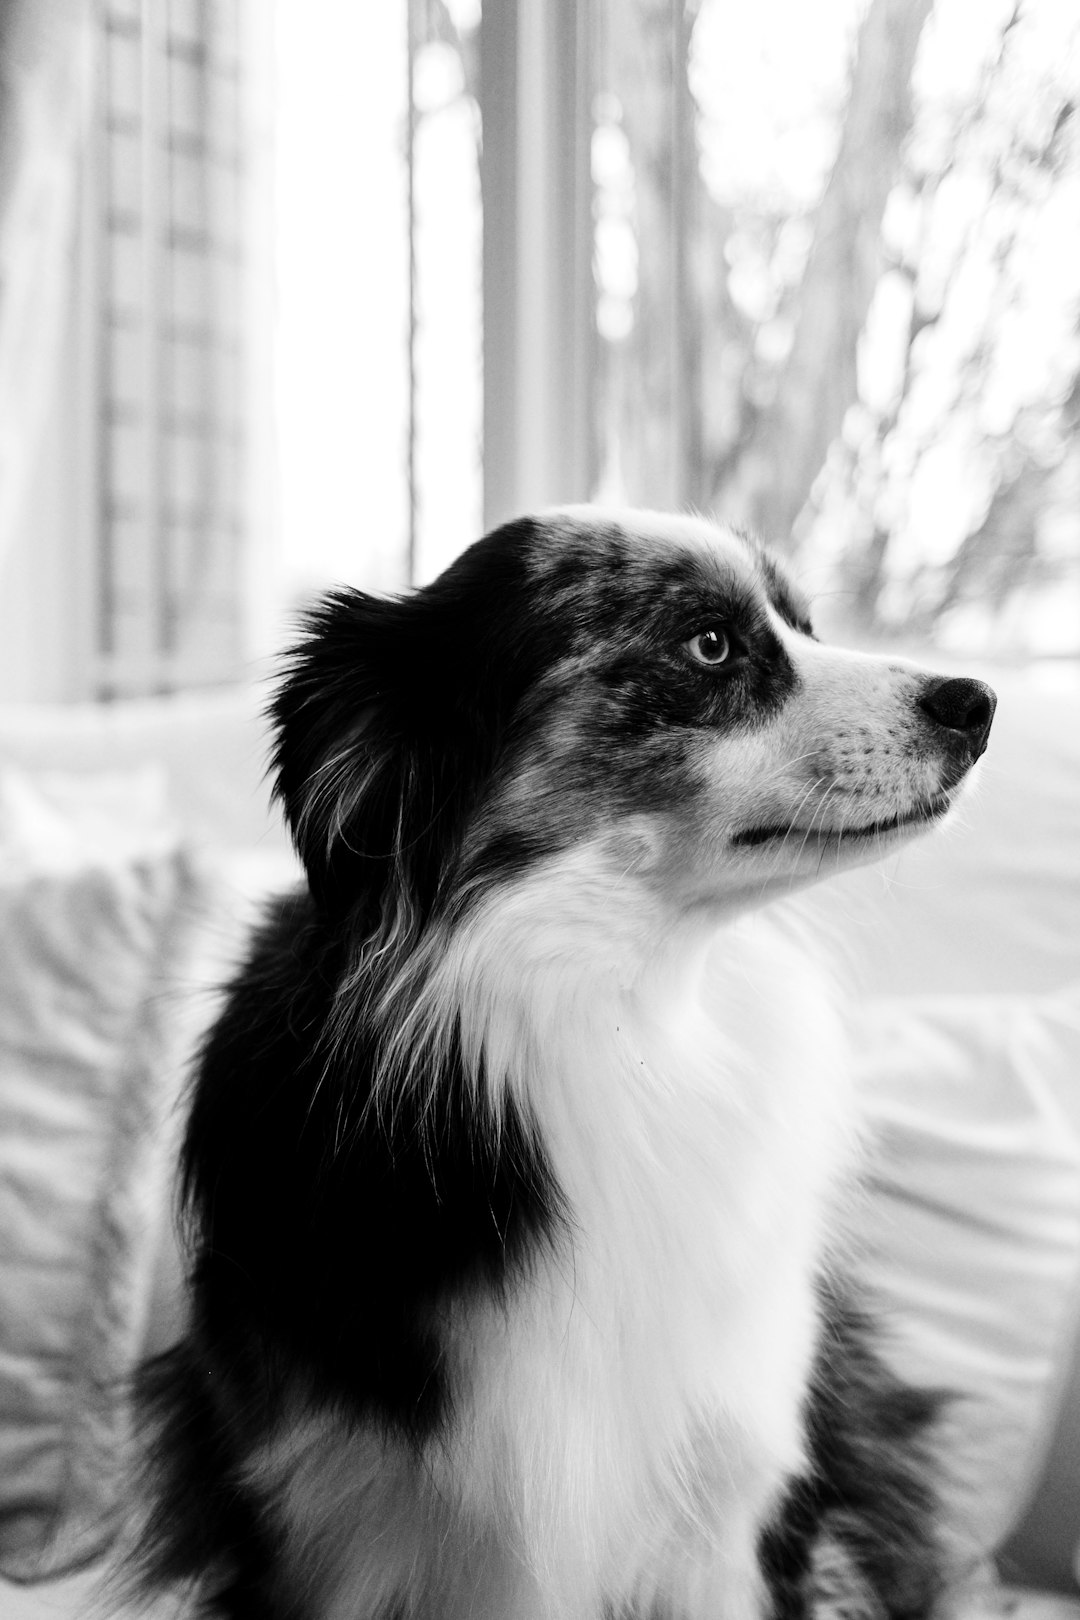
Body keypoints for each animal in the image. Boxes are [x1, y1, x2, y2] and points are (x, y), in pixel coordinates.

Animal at [132, 508, 997, 1620]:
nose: (978, 703)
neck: (618, 1008)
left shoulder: (733, 1511)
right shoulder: (314, 1518)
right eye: (708, 644)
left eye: (805, 624)